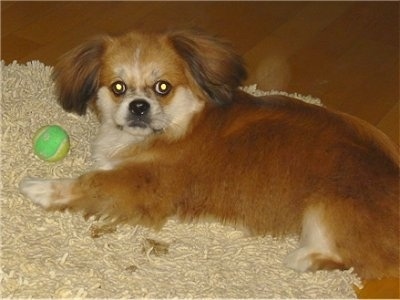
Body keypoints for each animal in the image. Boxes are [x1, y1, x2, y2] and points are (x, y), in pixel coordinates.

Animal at [19, 29, 400, 280]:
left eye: (163, 87)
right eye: (118, 87)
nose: (139, 106)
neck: (179, 124)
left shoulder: (144, 185)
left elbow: (89, 182)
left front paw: (38, 188)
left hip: (324, 208)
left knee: (354, 259)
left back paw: (301, 259)